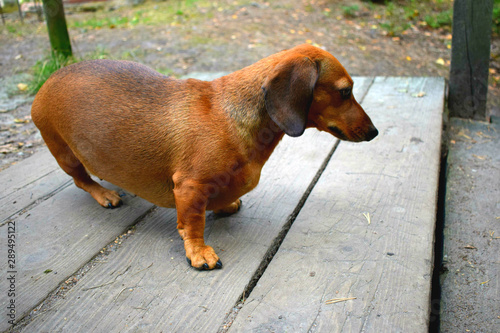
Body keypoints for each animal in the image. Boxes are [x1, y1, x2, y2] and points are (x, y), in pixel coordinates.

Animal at [31, 43, 376, 270]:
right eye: (345, 91)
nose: (374, 132)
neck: (230, 116)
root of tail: (48, 81)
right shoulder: (189, 188)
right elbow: (193, 223)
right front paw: (199, 252)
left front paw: (225, 205)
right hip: (65, 154)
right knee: (81, 180)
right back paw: (104, 194)